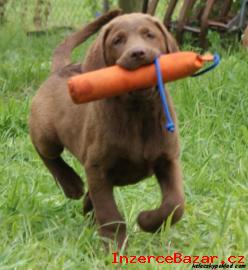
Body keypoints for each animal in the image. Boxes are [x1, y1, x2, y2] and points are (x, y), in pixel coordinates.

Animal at [29, 11, 184, 249]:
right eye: (117, 41)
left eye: (149, 35)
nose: (138, 53)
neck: (138, 111)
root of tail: (60, 70)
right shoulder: (97, 167)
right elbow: (109, 213)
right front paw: (114, 246)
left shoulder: (168, 159)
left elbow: (175, 204)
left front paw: (147, 221)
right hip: (46, 133)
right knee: (46, 152)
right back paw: (71, 184)